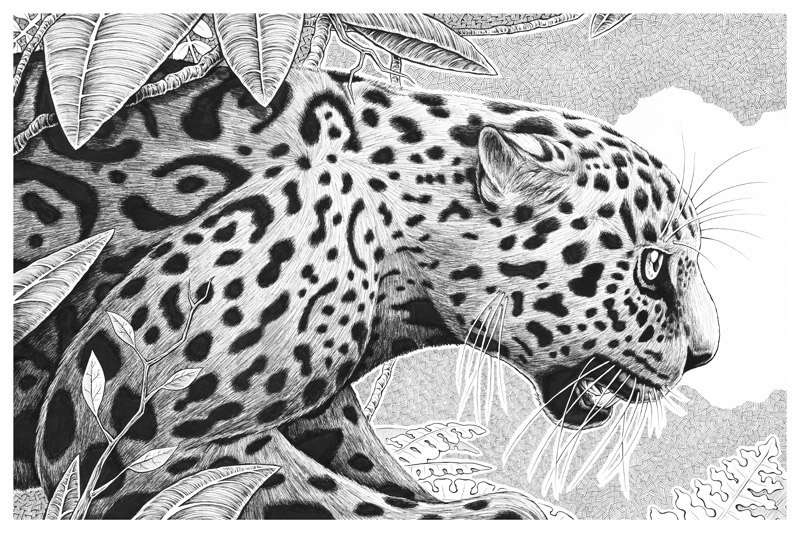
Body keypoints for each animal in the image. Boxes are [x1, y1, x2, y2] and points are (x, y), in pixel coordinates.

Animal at [14, 51, 719, 519]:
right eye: (652, 268)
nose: (705, 355)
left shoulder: (323, 412)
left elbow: (364, 467)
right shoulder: (120, 411)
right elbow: (319, 491)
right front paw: (488, 514)